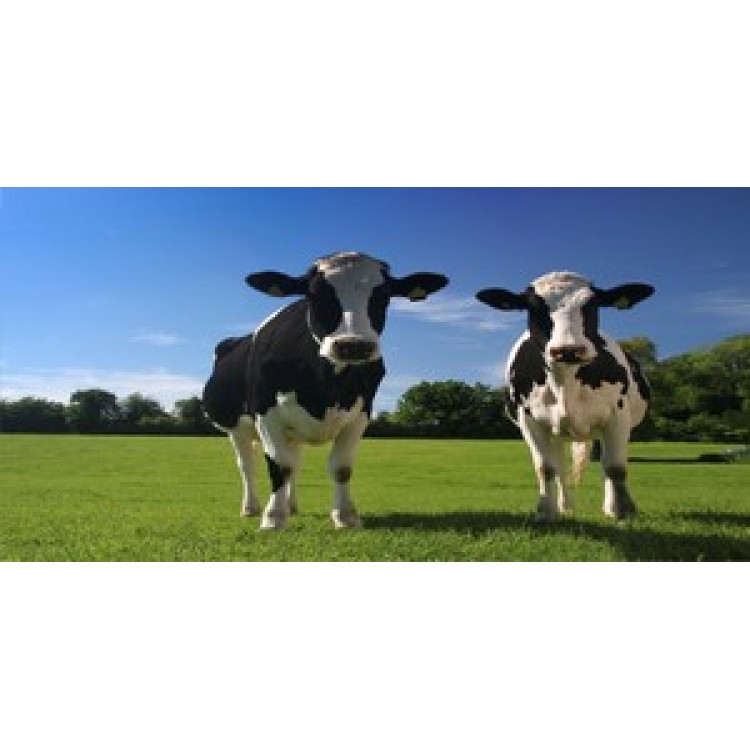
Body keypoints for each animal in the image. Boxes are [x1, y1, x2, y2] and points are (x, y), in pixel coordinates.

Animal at [203, 251, 448, 530]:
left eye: (384, 296)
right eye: (314, 294)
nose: (353, 345)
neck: (326, 386)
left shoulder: (361, 412)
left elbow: (341, 467)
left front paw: (345, 516)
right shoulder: (265, 412)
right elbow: (279, 465)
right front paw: (273, 518)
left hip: (293, 432)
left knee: (295, 463)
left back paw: (291, 506)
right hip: (235, 428)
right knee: (248, 466)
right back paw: (251, 507)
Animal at [476, 271, 654, 521]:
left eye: (593, 305)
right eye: (533, 306)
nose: (568, 350)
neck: (565, 384)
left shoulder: (617, 414)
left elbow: (616, 466)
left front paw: (623, 511)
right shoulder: (528, 419)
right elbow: (545, 467)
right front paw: (545, 512)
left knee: (605, 462)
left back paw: (608, 506)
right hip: (557, 433)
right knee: (559, 465)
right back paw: (565, 505)